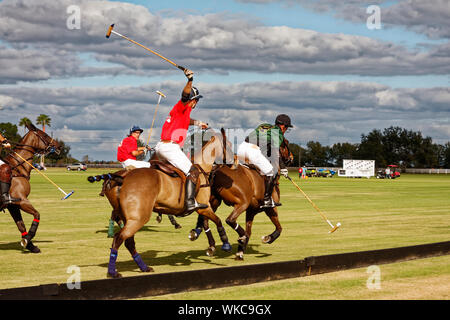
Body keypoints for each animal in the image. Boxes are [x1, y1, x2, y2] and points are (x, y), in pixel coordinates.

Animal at [1, 122, 61, 252]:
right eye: (45, 134)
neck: (17, 168)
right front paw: (27, 239)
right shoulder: (21, 200)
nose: (59, 146)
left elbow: (21, 225)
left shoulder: (13, 205)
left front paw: (30, 245)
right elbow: (37, 214)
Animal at [89, 127, 234, 278]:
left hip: (127, 215)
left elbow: (206, 223)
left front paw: (210, 246)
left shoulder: (203, 207)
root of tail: (119, 177)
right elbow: (217, 220)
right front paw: (225, 243)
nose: (234, 161)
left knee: (128, 240)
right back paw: (113, 271)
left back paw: (144, 267)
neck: (202, 168)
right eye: (229, 144)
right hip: (139, 217)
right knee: (119, 238)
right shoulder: (203, 206)